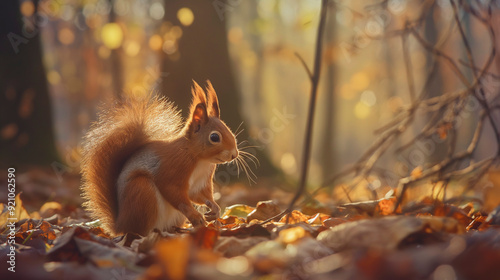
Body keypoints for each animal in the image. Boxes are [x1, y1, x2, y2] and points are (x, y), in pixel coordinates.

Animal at [80, 81, 238, 236]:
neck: (200, 160)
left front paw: (215, 208)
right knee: (142, 230)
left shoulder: (202, 181)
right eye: (214, 137)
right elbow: (173, 192)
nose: (234, 154)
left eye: (229, 130)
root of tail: (121, 226)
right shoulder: (172, 168)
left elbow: (199, 195)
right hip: (142, 191)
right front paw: (195, 216)